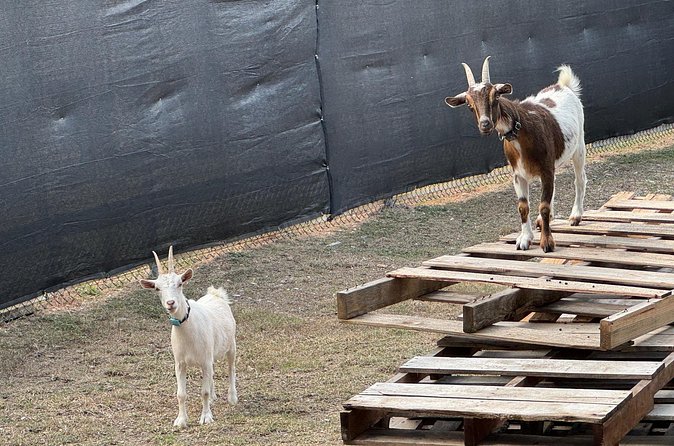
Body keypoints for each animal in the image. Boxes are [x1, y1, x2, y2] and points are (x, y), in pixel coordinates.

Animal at [139, 246, 237, 428]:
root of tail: (215, 294)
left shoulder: (205, 360)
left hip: (231, 345)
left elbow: (203, 391)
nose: (171, 303)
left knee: (231, 369)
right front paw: (181, 420)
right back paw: (214, 398)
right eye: (157, 288)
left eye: (180, 283)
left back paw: (232, 397)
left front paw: (206, 417)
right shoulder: (180, 363)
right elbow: (181, 394)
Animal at [445, 56, 586, 252]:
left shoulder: (546, 169)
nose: (485, 124)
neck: (521, 129)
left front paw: (547, 242)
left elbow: (543, 205)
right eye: (468, 104)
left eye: (496, 96)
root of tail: (563, 85)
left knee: (579, 180)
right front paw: (525, 239)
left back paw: (575, 216)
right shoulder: (518, 175)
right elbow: (523, 206)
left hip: (579, 146)